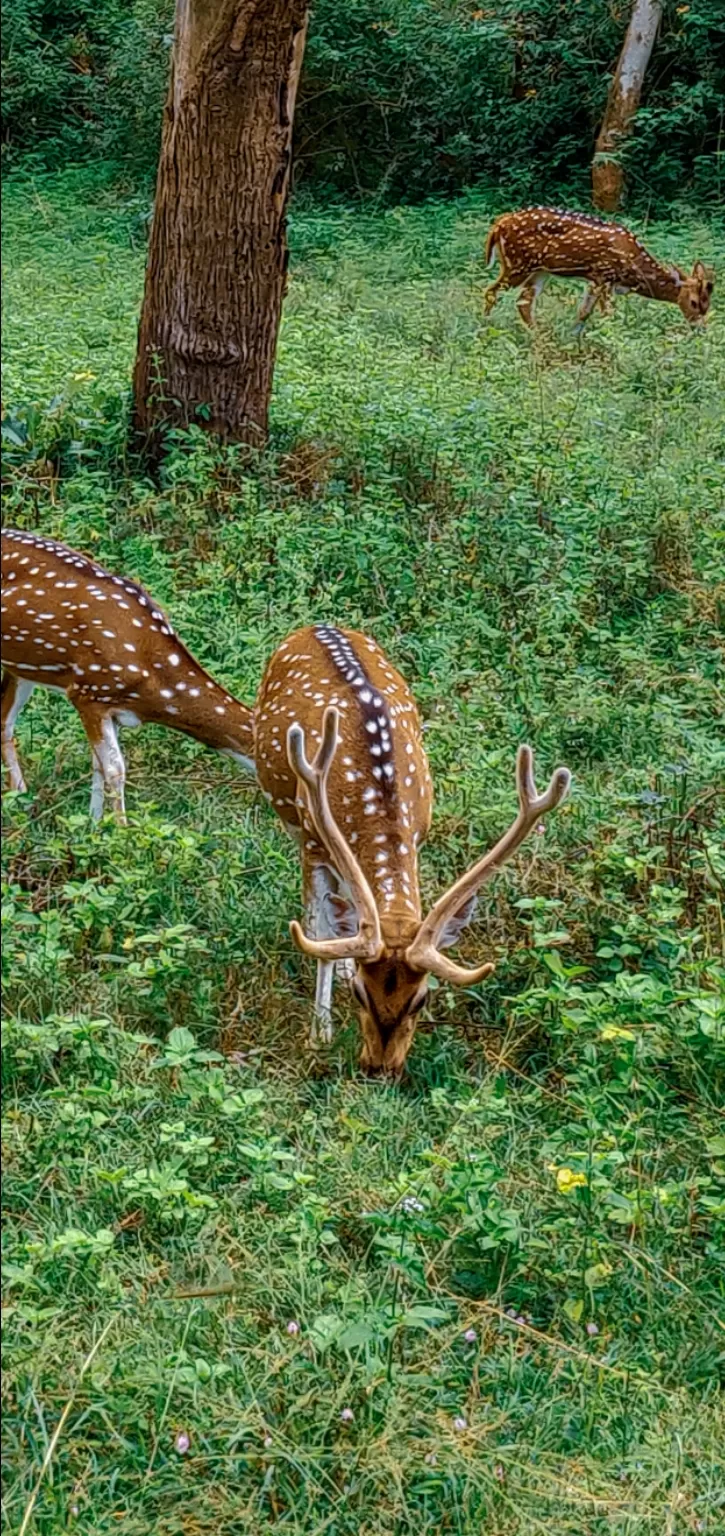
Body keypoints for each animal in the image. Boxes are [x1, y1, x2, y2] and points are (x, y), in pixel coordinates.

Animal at [1, 525, 256, 817]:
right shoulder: (87, 691)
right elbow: (115, 769)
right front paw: (119, 827)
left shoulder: (111, 708)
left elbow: (98, 766)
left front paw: (93, 822)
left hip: (21, 669)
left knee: (4, 722)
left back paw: (20, 798)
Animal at [254, 620, 571, 1069]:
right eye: (361, 996)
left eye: (421, 1000)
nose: (380, 1068)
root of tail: (319, 624)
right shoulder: (313, 840)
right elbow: (317, 927)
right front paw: (319, 1034)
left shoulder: (419, 831)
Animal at [482, 205, 712, 331]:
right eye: (693, 302)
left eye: (707, 305)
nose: (699, 329)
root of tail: (498, 224)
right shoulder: (605, 276)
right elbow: (607, 315)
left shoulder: (595, 281)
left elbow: (583, 313)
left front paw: (572, 339)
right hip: (517, 264)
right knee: (491, 292)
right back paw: (485, 327)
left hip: (540, 270)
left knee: (524, 302)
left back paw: (537, 334)